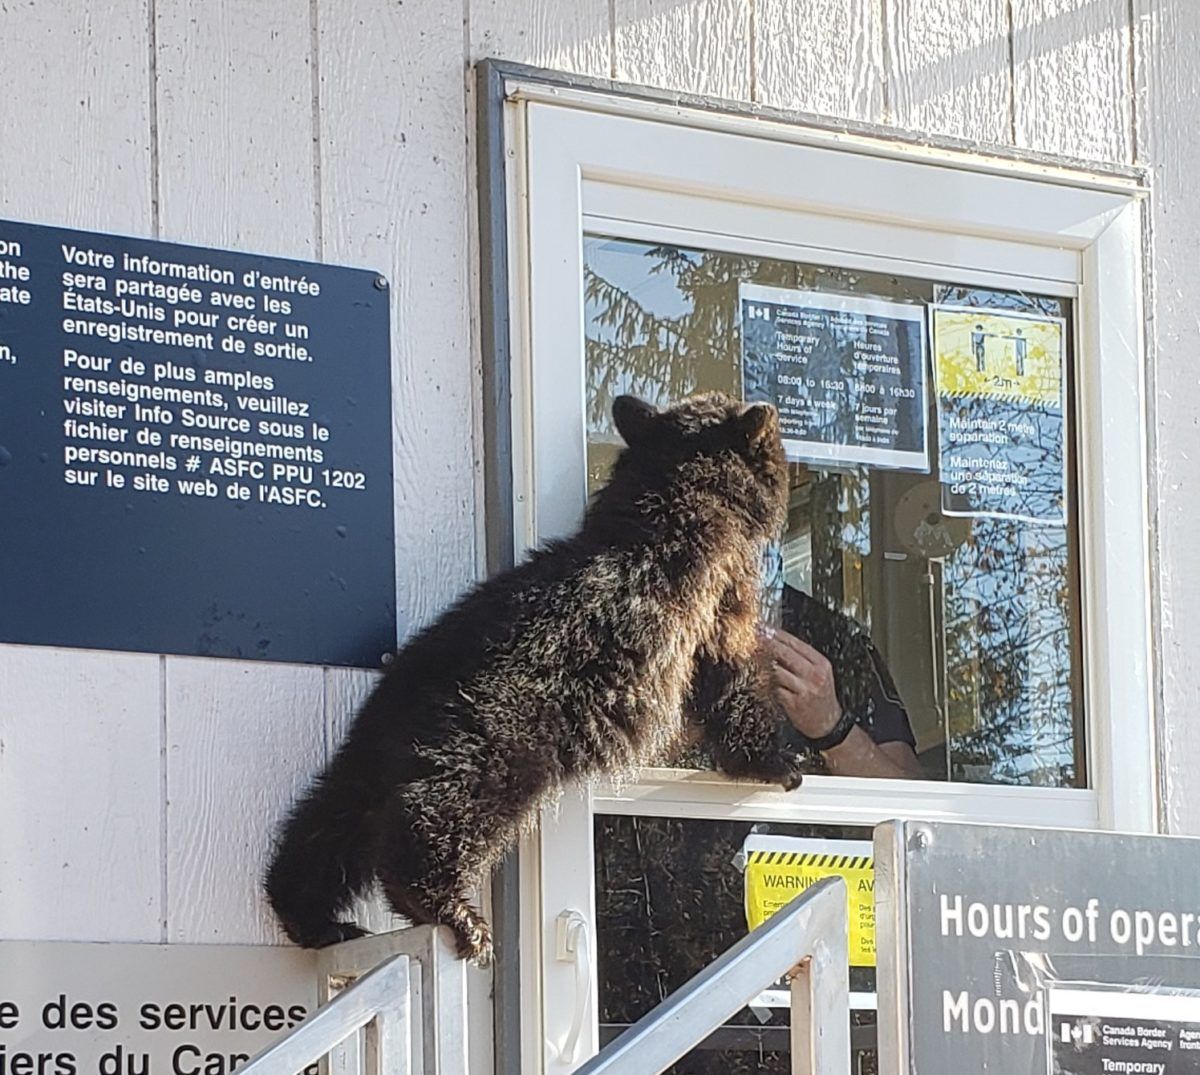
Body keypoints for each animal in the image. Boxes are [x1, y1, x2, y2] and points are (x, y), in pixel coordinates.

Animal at [264, 391, 806, 965]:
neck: (678, 502)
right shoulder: (717, 598)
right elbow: (731, 677)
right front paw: (778, 760)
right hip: (502, 734)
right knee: (441, 808)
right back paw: (451, 910)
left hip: (370, 746)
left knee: (330, 819)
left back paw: (314, 917)